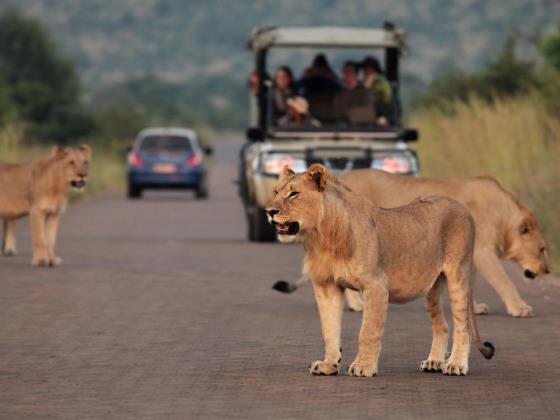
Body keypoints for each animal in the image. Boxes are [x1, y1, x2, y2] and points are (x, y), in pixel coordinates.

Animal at [274, 169, 548, 316]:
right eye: (543, 249)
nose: (547, 271)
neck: (505, 213)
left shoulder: (466, 249)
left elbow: (469, 280)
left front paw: (474, 307)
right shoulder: (482, 251)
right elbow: (504, 281)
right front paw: (521, 308)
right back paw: (358, 305)